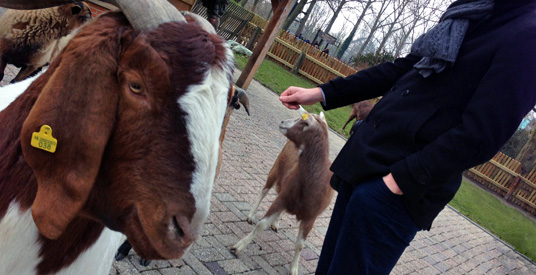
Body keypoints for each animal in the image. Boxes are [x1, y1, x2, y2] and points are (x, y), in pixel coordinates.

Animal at [231, 108, 332, 275]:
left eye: (304, 122)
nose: (283, 122)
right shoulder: (282, 199)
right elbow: (261, 224)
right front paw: (239, 247)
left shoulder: (311, 217)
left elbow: (300, 245)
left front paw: (294, 268)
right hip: (276, 168)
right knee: (264, 191)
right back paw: (251, 215)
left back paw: (276, 222)